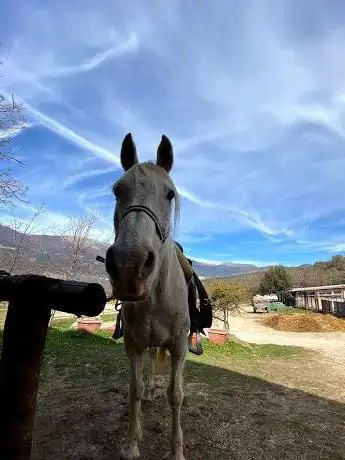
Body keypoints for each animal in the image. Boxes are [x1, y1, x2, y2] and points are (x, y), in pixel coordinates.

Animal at [106, 131, 189, 458]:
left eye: (170, 194)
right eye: (117, 191)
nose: (129, 264)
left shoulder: (179, 346)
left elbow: (176, 394)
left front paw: (176, 450)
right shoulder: (134, 346)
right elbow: (135, 390)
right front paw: (132, 444)